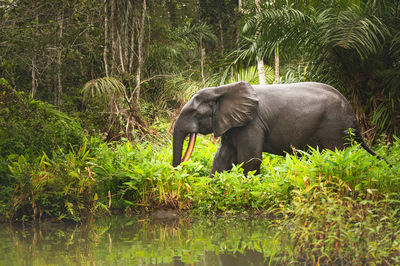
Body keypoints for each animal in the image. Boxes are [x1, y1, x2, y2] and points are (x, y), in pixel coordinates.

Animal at [173, 81, 384, 177]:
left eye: (194, 112)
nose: (177, 172)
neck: (221, 89)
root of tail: (352, 113)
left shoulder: (252, 124)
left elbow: (250, 159)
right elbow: (222, 156)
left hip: (335, 128)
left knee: (336, 155)